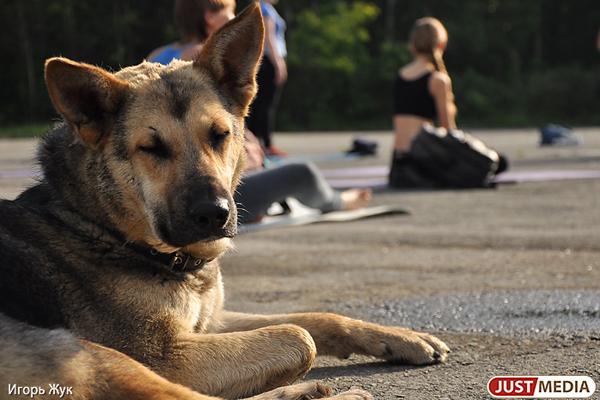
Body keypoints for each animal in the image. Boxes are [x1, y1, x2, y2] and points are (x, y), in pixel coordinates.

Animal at [1, 3, 450, 400]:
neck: (99, 225)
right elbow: (299, 337)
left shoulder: (211, 322)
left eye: (219, 135)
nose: (213, 215)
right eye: (151, 148)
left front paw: (402, 336)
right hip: (89, 354)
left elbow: (317, 317)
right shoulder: (166, 355)